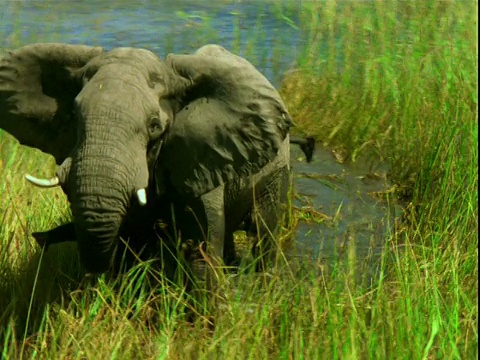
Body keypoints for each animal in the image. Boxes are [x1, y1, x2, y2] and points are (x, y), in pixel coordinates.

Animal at [0, 43, 304, 278]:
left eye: (155, 126)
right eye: (73, 117)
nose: (39, 237)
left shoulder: (199, 159)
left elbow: (202, 253)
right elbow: (131, 244)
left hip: (277, 171)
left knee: (265, 232)